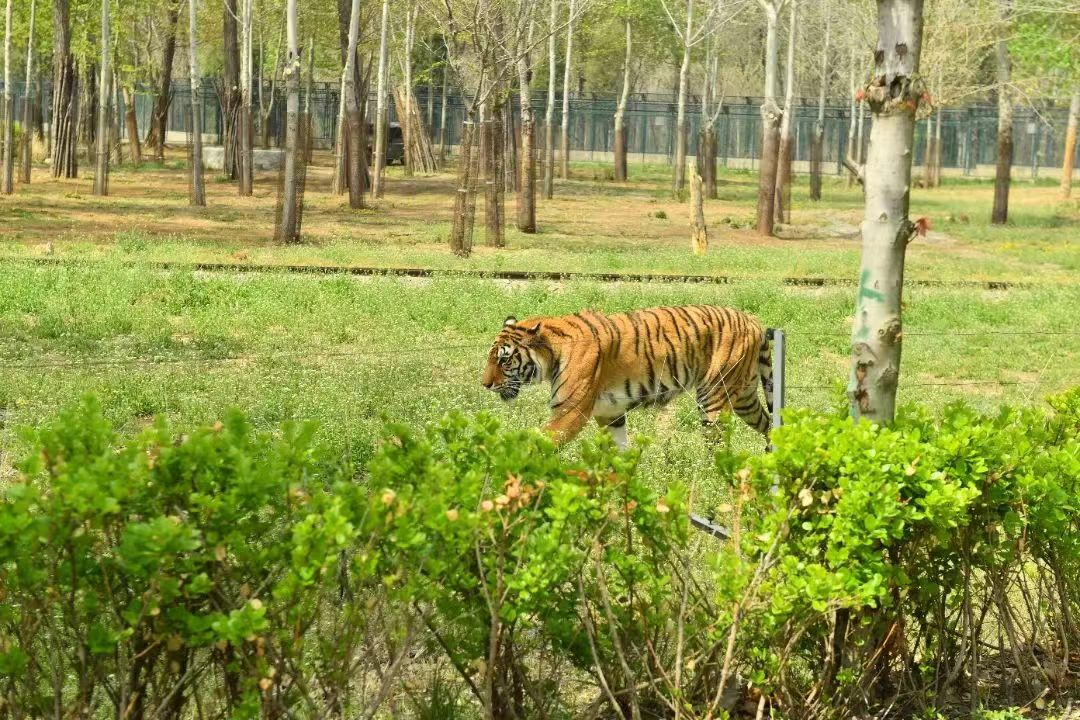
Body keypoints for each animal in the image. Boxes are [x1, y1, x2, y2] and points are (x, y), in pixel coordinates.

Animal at [483, 306, 777, 451]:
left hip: (714, 395)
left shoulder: (571, 410)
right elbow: (618, 450)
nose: (485, 384)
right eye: (491, 358)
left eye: (504, 360)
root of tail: (753, 320)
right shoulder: (610, 413)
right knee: (769, 424)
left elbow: (540, 442)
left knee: (718, 446)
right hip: (744, 396)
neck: (553, 351)